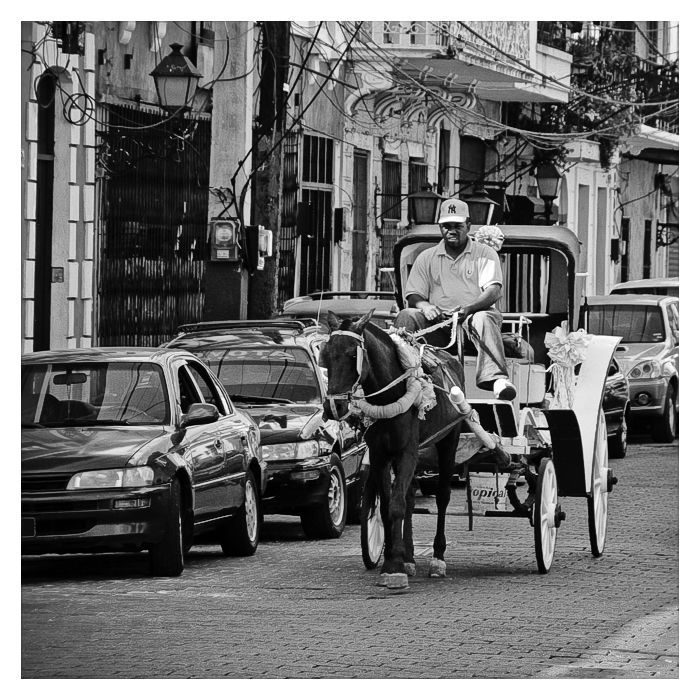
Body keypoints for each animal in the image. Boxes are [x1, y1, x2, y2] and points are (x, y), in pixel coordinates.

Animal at [320, 308, 468, 588]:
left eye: (352, 354)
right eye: (325, 354)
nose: (334, 407)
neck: (389, 394)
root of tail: (450, 359)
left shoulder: (407, 451)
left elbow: (397, 505)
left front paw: (394, 566)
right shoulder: (380, 455)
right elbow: (389, 505)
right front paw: (393, 559)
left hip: (448, 440)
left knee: (442, 496)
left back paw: (437, 558)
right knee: (409, 496)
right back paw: (409, 557)